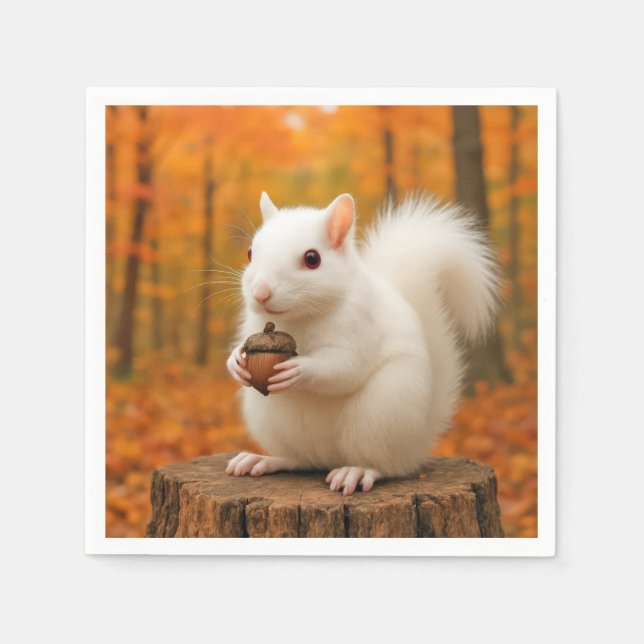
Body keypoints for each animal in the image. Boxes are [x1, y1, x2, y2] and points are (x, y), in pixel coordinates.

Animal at [226, 192, 499, 495]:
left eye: (312, 259)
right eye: (250, 253)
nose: (260, 293)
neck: (299, 318)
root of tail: (416, 445)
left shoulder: (361, 328)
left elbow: (345, 368)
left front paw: (300, 369)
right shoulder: (253, 325)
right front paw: (235, 362)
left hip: (380, 415)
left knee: (385, 466)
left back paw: (356, 472)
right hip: (273, 422)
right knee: (301, 460)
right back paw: (264, 460)